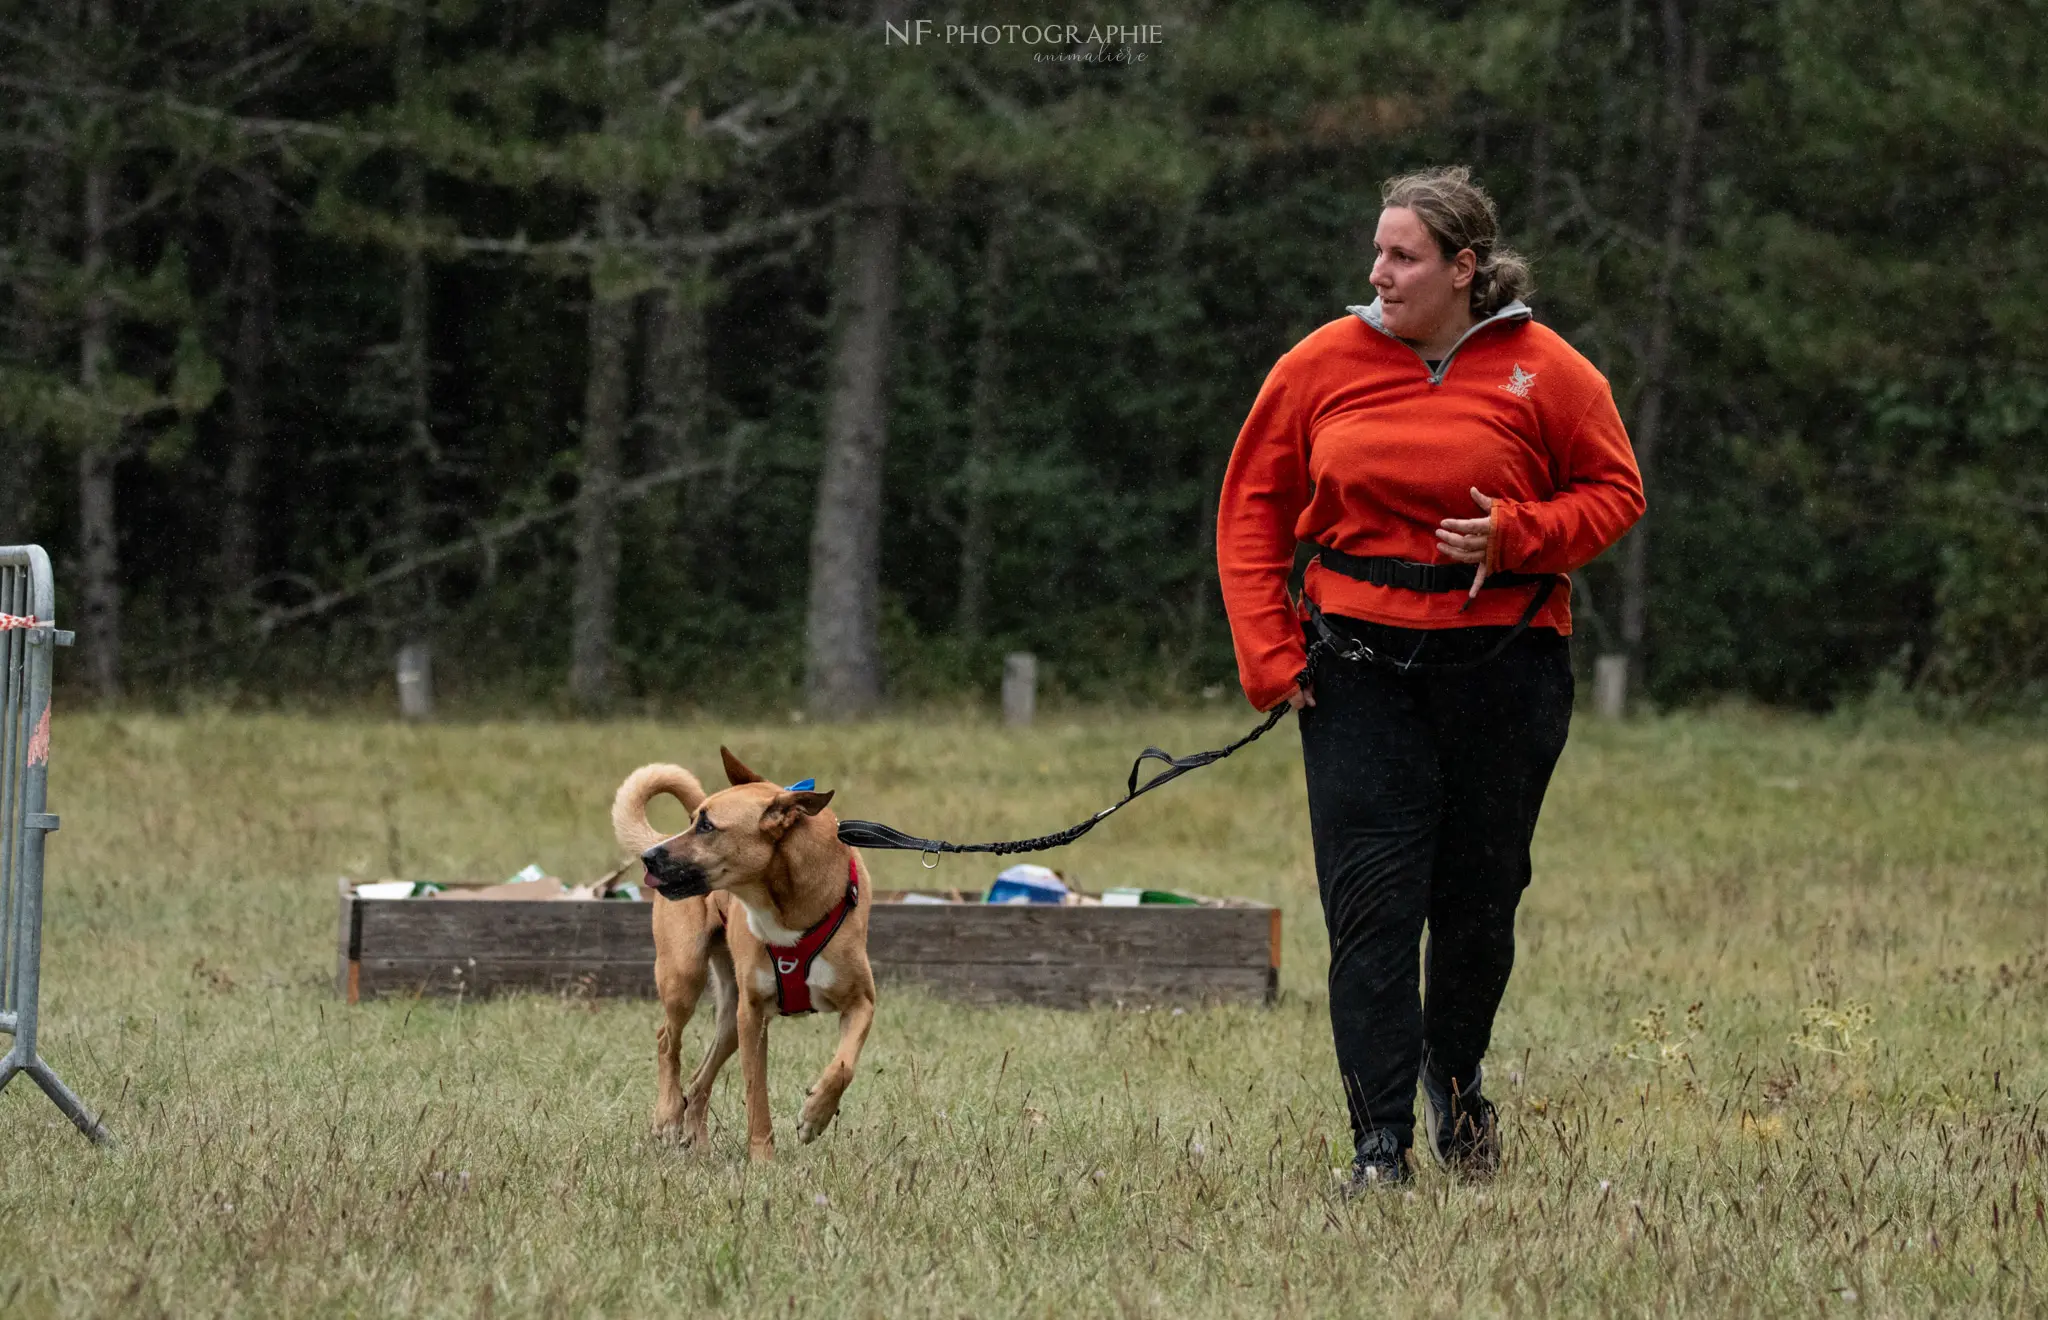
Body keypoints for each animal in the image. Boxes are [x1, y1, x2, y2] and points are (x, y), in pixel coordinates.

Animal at [602, 744, 868, 1162]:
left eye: (707, 827)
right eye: (693, 820)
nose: (648, 857)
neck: (789, 903)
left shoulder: (860, 1002)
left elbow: (843, 1065)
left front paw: (815, 1116)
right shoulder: (753, 1014)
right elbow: (755, 1091)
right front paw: (763, 1159)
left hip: (728, 1016)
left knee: (698, 1081)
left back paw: (697, 1142)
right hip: (684, 975)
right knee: (667, 1040)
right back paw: (667, 1115)